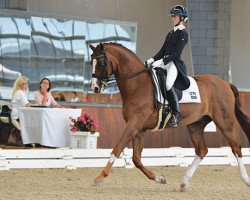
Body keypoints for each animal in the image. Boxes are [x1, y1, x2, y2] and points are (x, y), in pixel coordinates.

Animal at [89, 42, 249, 191]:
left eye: (102, 63)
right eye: (91, 63)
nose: (95, 88)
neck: (138, 85)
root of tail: (225, 83)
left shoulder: (133, 124)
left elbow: (117, 149)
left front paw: (99, 178)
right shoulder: (139, 129)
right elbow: (136, 159)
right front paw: (159, 178)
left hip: (224, 121)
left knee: (236, 147)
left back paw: (246, 179)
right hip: (196, 125)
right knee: (202, 150)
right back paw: (184, 182)